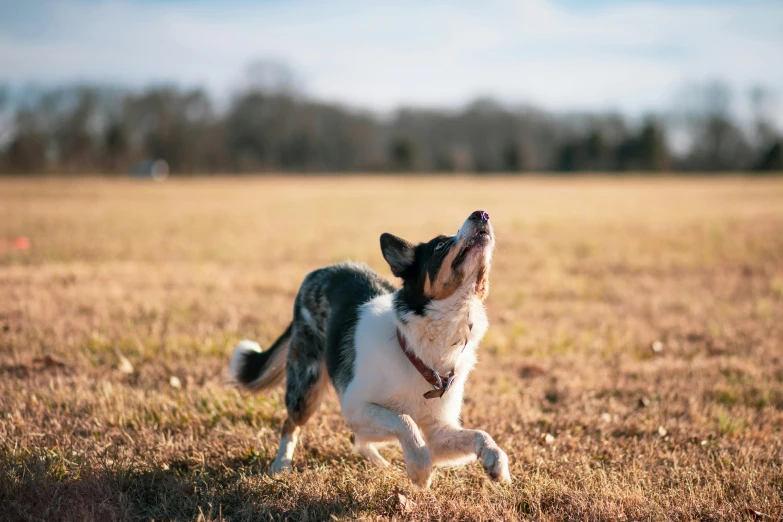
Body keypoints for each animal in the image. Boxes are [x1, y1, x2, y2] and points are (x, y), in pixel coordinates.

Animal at [228, 209, 508, 486]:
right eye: (439, 245)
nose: (481, 213)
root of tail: (322, 271)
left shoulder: (438, 432)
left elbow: (480, 434)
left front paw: (496, 462)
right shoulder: (355, 405)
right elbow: (404, 420)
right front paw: (419, 467)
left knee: (359, 439)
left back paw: (380, 463)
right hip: (306, 384)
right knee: (292, 424)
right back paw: (281, 465)